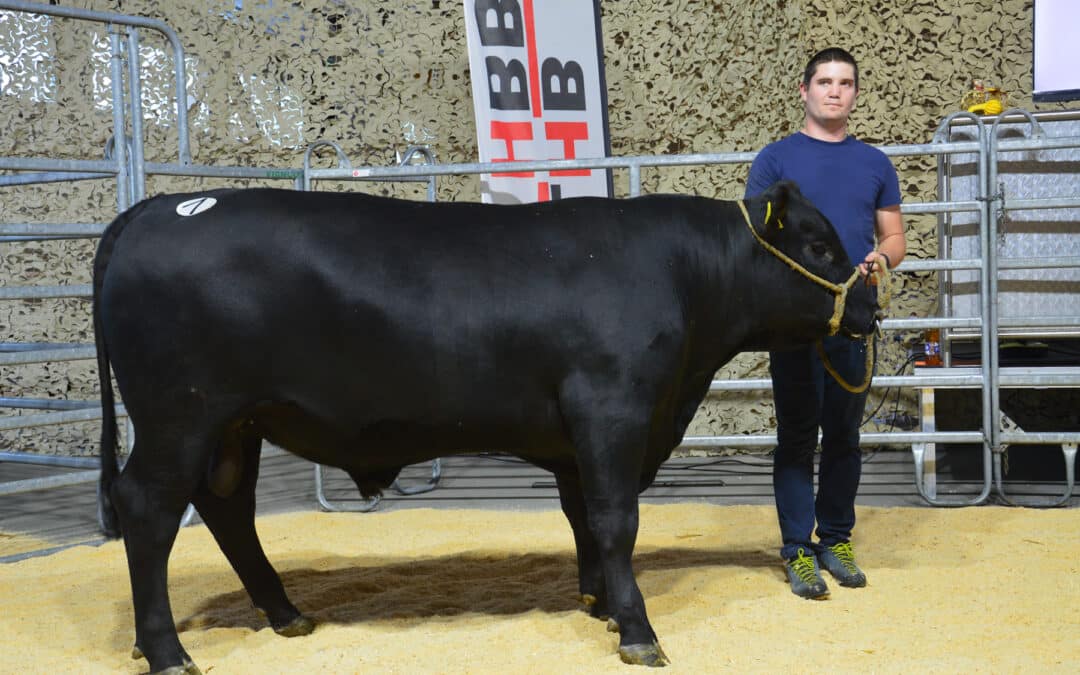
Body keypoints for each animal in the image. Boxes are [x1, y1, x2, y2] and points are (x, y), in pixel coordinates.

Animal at [90, 180, 876, 673]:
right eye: (818, 244)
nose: (869, 306)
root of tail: (162, 206)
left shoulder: (576, 437)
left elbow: (583, 519)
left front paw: (597, 603)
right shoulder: (612, 408)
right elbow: (616, 518)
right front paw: (637, 631)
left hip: (235, 425)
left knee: (227, 509)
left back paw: (285, 612)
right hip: (180, 416)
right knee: (148, 509)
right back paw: (167, 652)